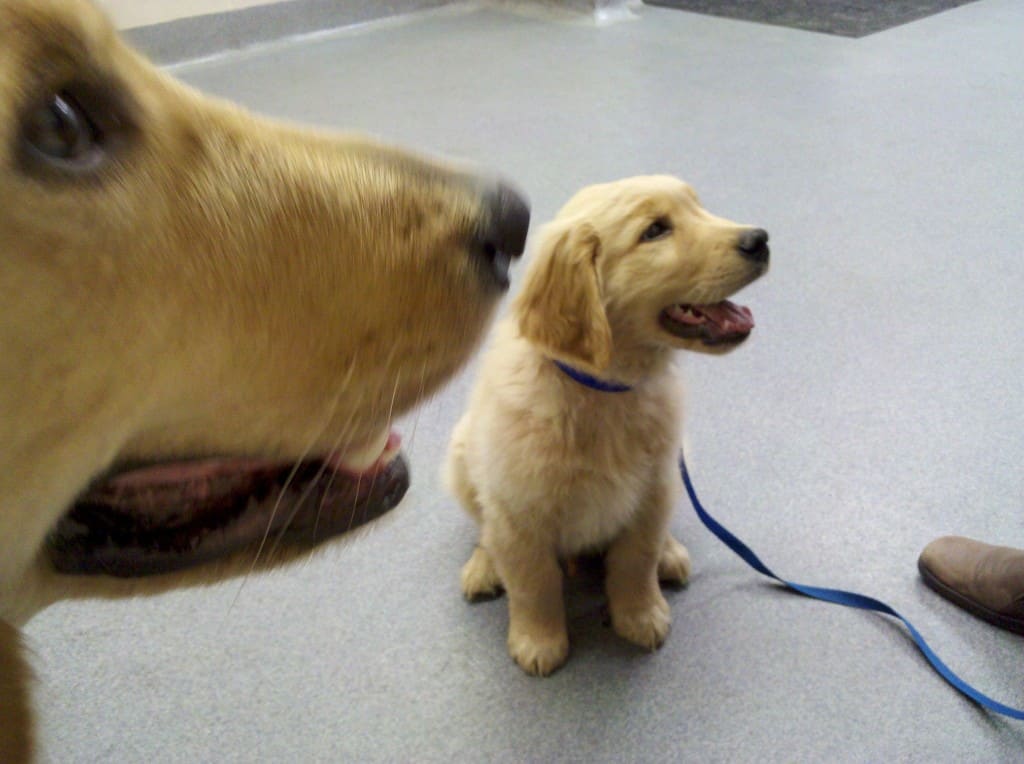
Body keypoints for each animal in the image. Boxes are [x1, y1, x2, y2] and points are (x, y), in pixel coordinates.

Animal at [442, 174, 770, 671]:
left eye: (698, 207)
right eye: (655, 231)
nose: (761, 240)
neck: (605, 392)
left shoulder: (652, 492)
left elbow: (636, 559)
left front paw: (640, 615)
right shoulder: (518, 509)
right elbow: (533, 581)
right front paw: (539, 640)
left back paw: (670, 554)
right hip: (462, 455)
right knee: (485, 529)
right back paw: (484, 565)